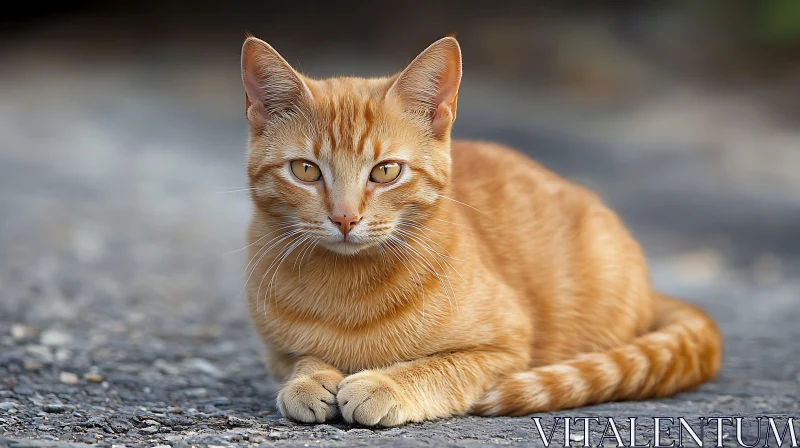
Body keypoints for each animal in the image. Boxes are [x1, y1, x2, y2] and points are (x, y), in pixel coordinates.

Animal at [241, 36, 720, 428]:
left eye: (386, 171)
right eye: (305, 170)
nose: (344, 218)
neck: (346, 289)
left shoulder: (506, 347)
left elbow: (439, 367)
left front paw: (385, 384)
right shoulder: (274, 350)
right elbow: (300, 358)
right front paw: (310, 379)